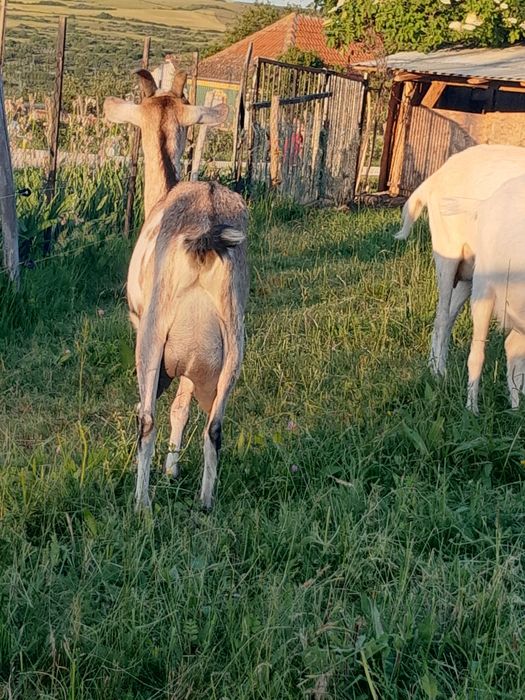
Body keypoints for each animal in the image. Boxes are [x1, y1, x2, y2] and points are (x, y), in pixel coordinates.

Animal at [104, 69, 249, 510]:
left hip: (153, 333)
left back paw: (141, 505)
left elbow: (154, 408)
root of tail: (206, 229)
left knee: (146, 418)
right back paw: (205, 503)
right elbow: (182, 409)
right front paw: (172, 469)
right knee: (215, 427)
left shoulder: (140, 324)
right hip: (234, 342)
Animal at [395, 144, 525, 376]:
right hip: (447, 255)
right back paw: (439, 373)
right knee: (441, 316)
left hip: (471, 272)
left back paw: (434, 367)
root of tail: (437, 175)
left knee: (448, 317)